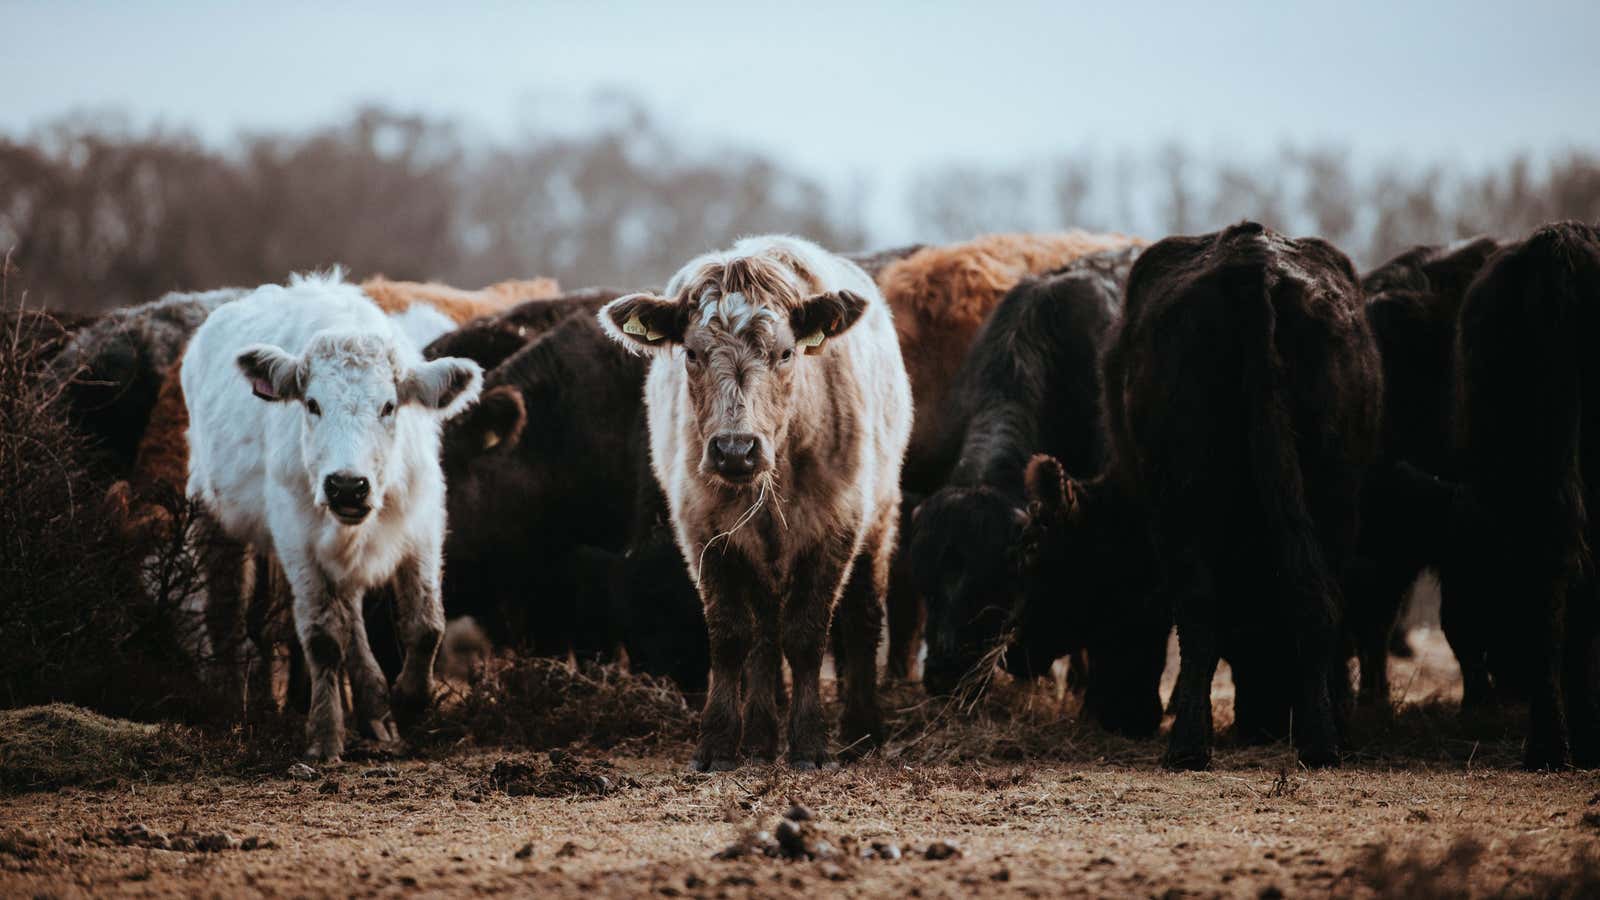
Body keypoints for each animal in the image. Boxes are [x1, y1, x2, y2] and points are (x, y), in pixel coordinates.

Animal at [183, 272, 480, 755]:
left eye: (388, 406)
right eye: (312, 404)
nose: (346, 485)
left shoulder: (424, 523)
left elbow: (426, 624)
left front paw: (408, 701)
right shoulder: (297, 537)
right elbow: (322, 638)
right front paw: (324, 734)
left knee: (352, 620)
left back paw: (376, 712)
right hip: (211, 514)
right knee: (226, 610)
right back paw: (234, 701)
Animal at [601, 235, 915, 768]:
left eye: (786, 353)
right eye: (691, 352)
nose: (735, 449)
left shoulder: (837, 524)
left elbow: (808, 633)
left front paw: (809, 742)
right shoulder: (702, 530)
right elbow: (731, 636)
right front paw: (720, 741)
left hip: (880, 518)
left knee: (862, 617)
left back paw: (862, 728)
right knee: (765, 634)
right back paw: (763, 734)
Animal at [1030, 224, 1382, 762]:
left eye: (1043, 559)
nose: (1012, 654)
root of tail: (1255, 264)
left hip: (1184, 500)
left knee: (1200, 611)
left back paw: (1189, 745)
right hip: (1334, 488)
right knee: (1317, 599)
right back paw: (1321, 738)